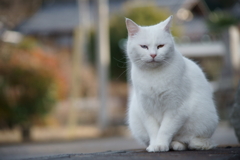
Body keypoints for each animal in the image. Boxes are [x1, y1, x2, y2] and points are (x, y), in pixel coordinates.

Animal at [126, 16, 218, 152]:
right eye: (143, 46)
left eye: (160, 46)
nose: (153, 54)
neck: (153, 75)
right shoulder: (146, 109)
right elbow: (153, 130)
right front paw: (154, 146)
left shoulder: (176, 109)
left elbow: (165, 130)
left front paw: (160, 145)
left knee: (188, 141)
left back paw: (176, 145)